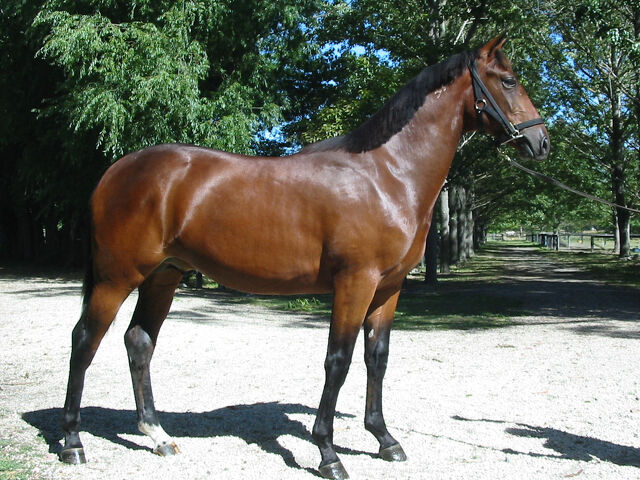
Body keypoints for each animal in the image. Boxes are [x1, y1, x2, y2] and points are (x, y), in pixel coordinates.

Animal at [59, 35, 549, 480]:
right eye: (508, 80)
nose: (541, 142)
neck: (387, 174)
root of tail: (116, 171)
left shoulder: (389, 288)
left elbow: (377, 358)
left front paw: (384, 439)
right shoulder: (355, 283)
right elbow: (339, 360)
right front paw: (328, 453)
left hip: (163, 275)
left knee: (139, 342)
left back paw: (158, 436)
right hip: (117, 277)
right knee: (84, 340)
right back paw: (72, 443)